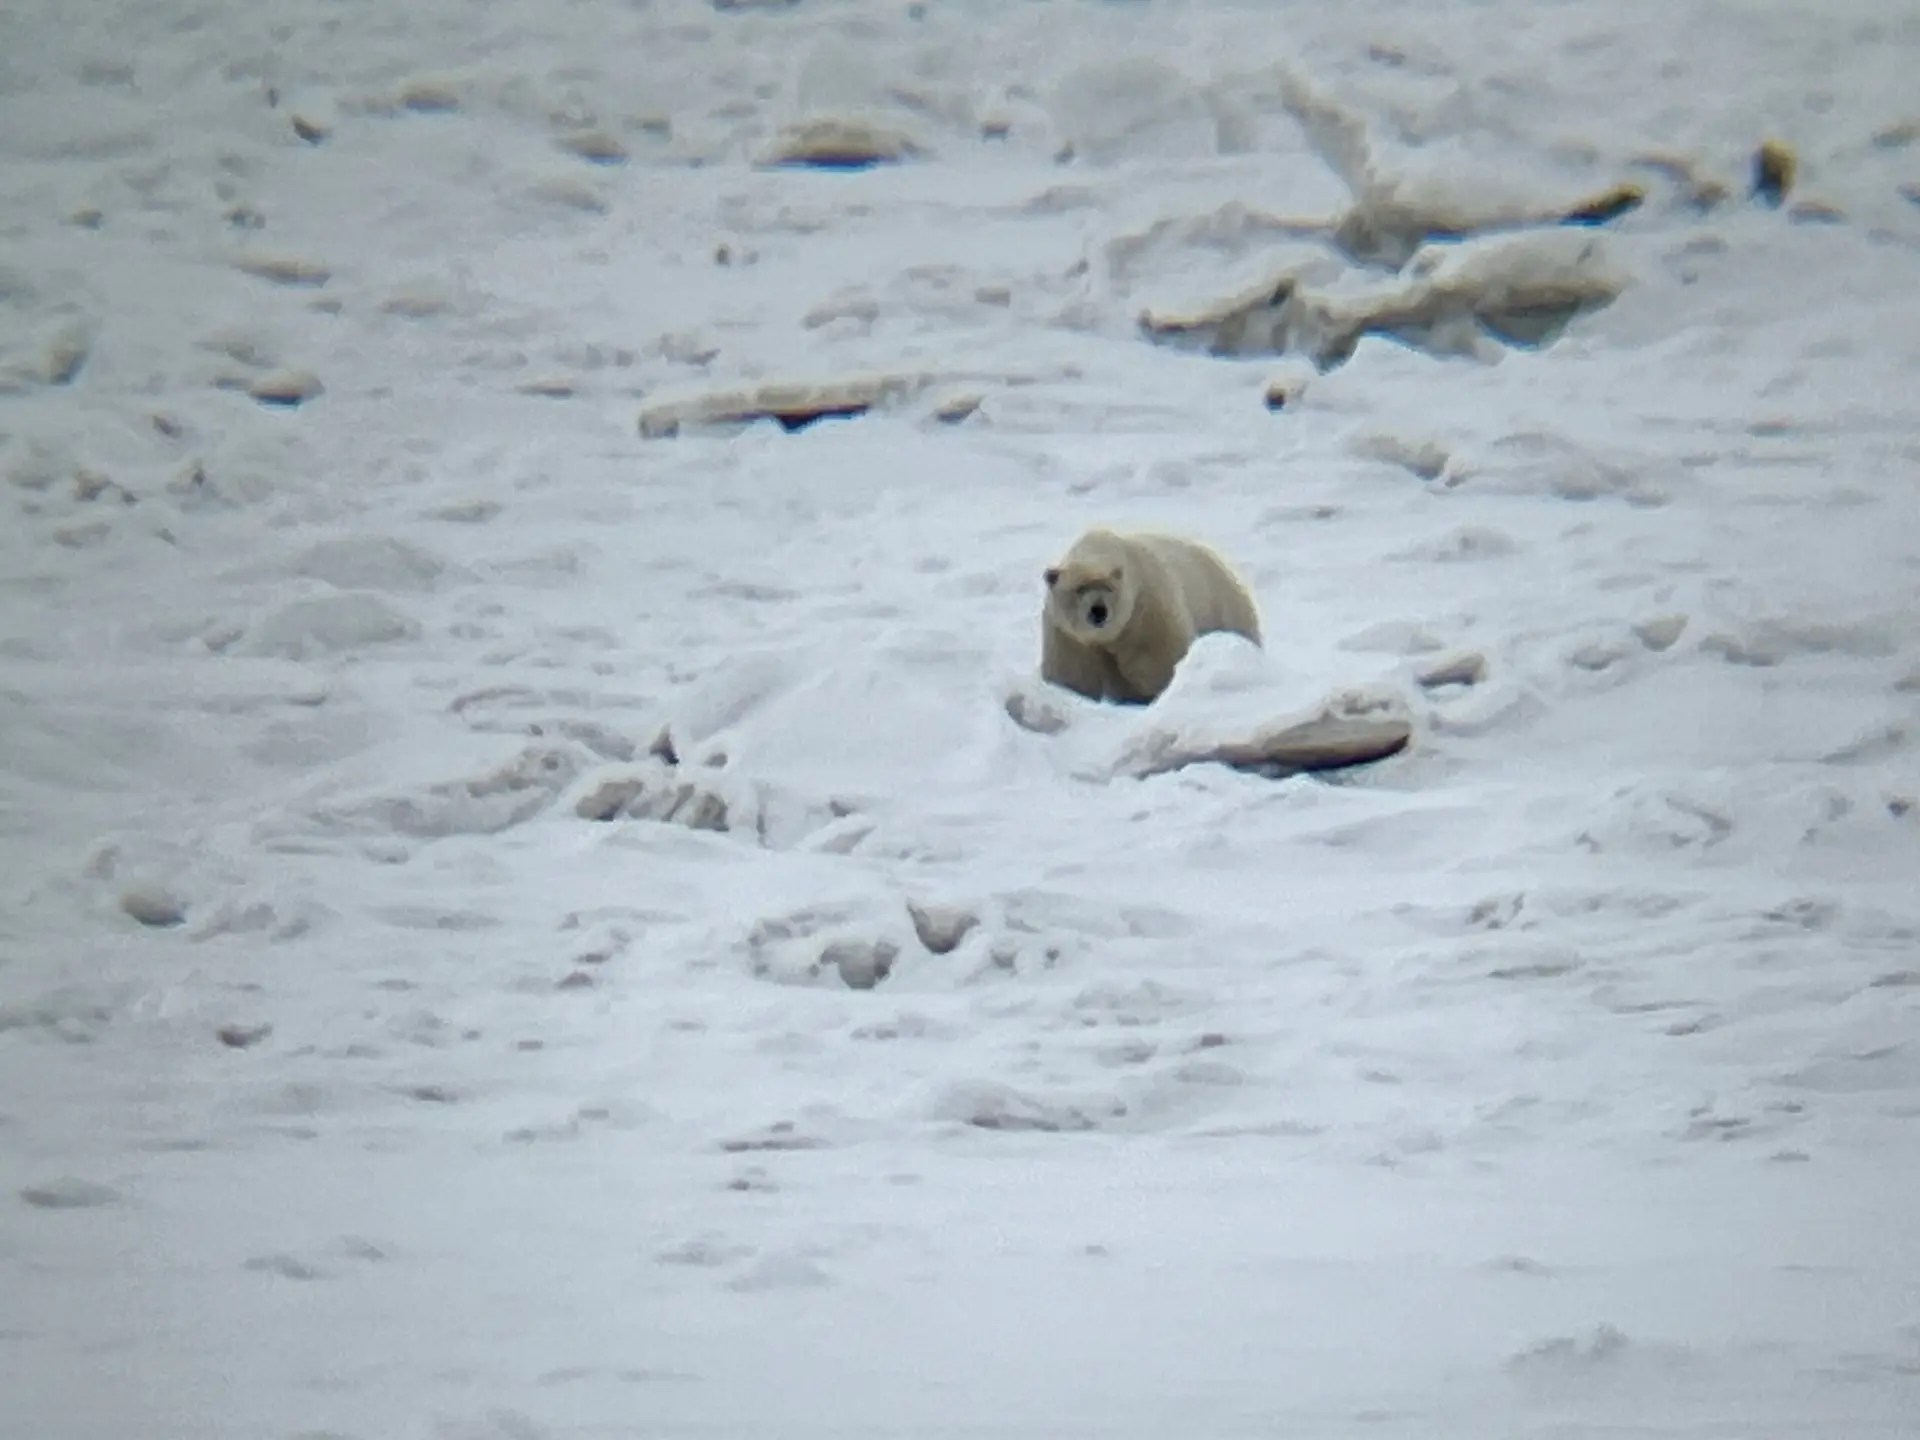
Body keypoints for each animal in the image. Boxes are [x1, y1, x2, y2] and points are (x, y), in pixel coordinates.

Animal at [1039, 527, 1262, 704]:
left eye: (1109, 587)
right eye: (1080, 588)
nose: (1098, 611)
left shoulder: (1146, 614)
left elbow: (1159, 660)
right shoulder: (1066, 635)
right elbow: (1071, 673)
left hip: (1225, 610)